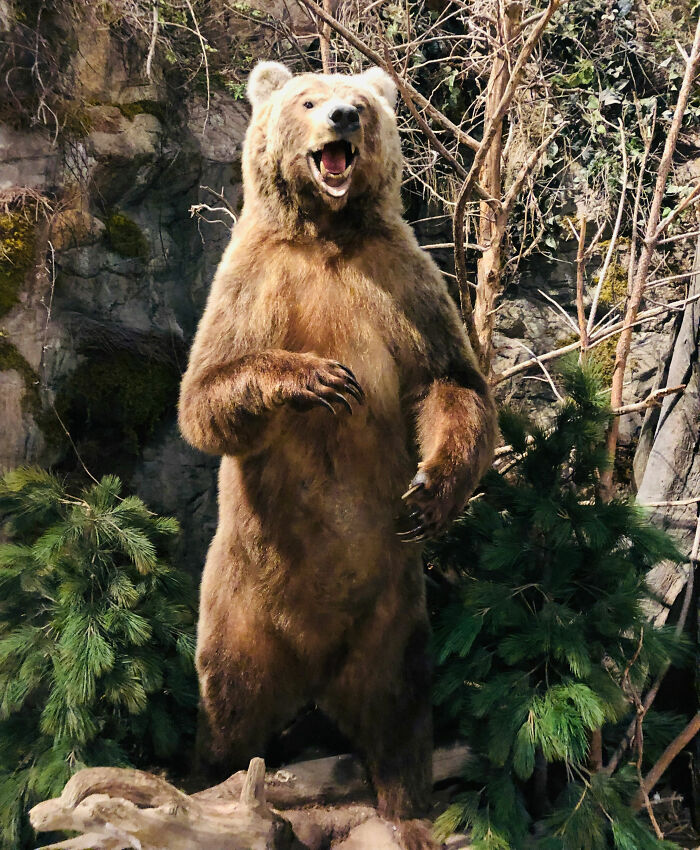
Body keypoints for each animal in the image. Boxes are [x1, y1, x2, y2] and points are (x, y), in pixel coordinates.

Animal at [178, 61, 497, 845]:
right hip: (239, 609)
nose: (344, 117)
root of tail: (316, 672)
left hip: (392, 620)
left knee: (401, 713)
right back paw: (207, 780)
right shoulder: (251, 282)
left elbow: (451, 381)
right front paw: (319, 380)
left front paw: (429, 493)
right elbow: (206, 395)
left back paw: (407, 809)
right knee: (228, 706)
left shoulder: (404, 282)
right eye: (308, 99)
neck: (326, 235)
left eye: (362, 102)